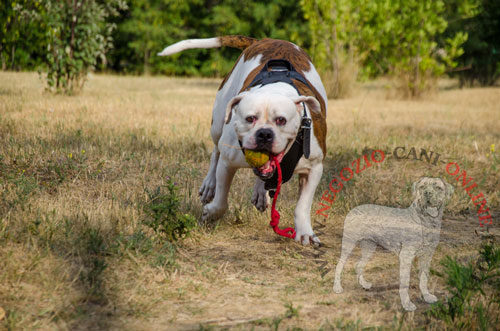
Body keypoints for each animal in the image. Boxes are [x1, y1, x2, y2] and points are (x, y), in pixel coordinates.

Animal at [158, 35, 326, 246]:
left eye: (281, 120)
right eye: (250, 118)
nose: (264, 134)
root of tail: (266, 40)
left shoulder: (314, 168)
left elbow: (303, 205)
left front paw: (305, 232)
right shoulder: (228, 162)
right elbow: (221, 201)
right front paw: (210, 214)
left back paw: (261, 193)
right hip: (218, 123)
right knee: (215, 151)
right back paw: (209, 185)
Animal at [332, 178, 454, 312]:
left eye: (438, 188)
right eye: (422, 187)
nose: (427, 193)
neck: (426, 222)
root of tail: (353, 209)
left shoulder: (427, 255)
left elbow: (423, 278)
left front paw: (427, 296)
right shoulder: (406, 256)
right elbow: (405, 282)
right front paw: (407, 304)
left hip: (369, 247)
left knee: (358, 265)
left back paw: (364, 284)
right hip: (349, 244)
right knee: (339, 265)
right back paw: (337, 288)